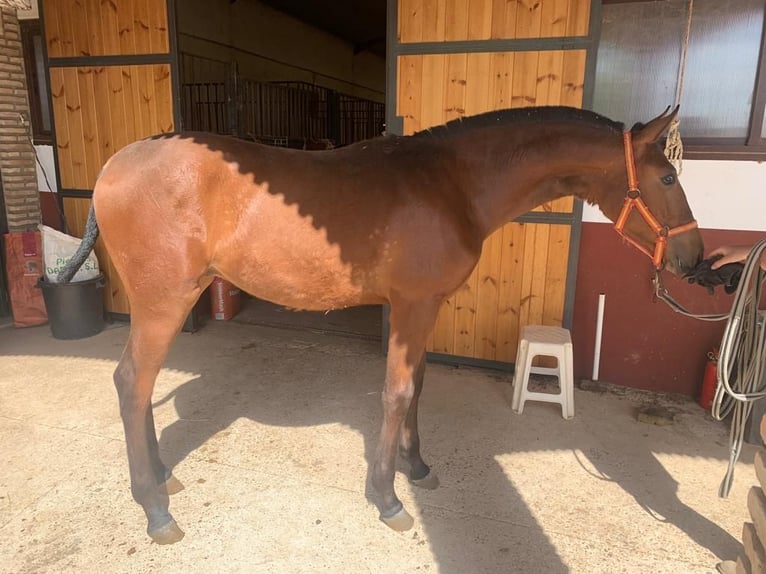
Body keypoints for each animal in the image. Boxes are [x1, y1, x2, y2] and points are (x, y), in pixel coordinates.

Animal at [60, 107, 708, 544]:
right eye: (668, 179)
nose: (695, 259)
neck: (451, 182)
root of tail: (116, 165)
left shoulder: (421, 306)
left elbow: (417, 387)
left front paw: (415, 467)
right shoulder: (416, 305)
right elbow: (396, 392)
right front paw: (386, 496)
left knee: (140, 388)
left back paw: (161, 477)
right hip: (163, 302)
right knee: (132, 384)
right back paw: (154, 507)